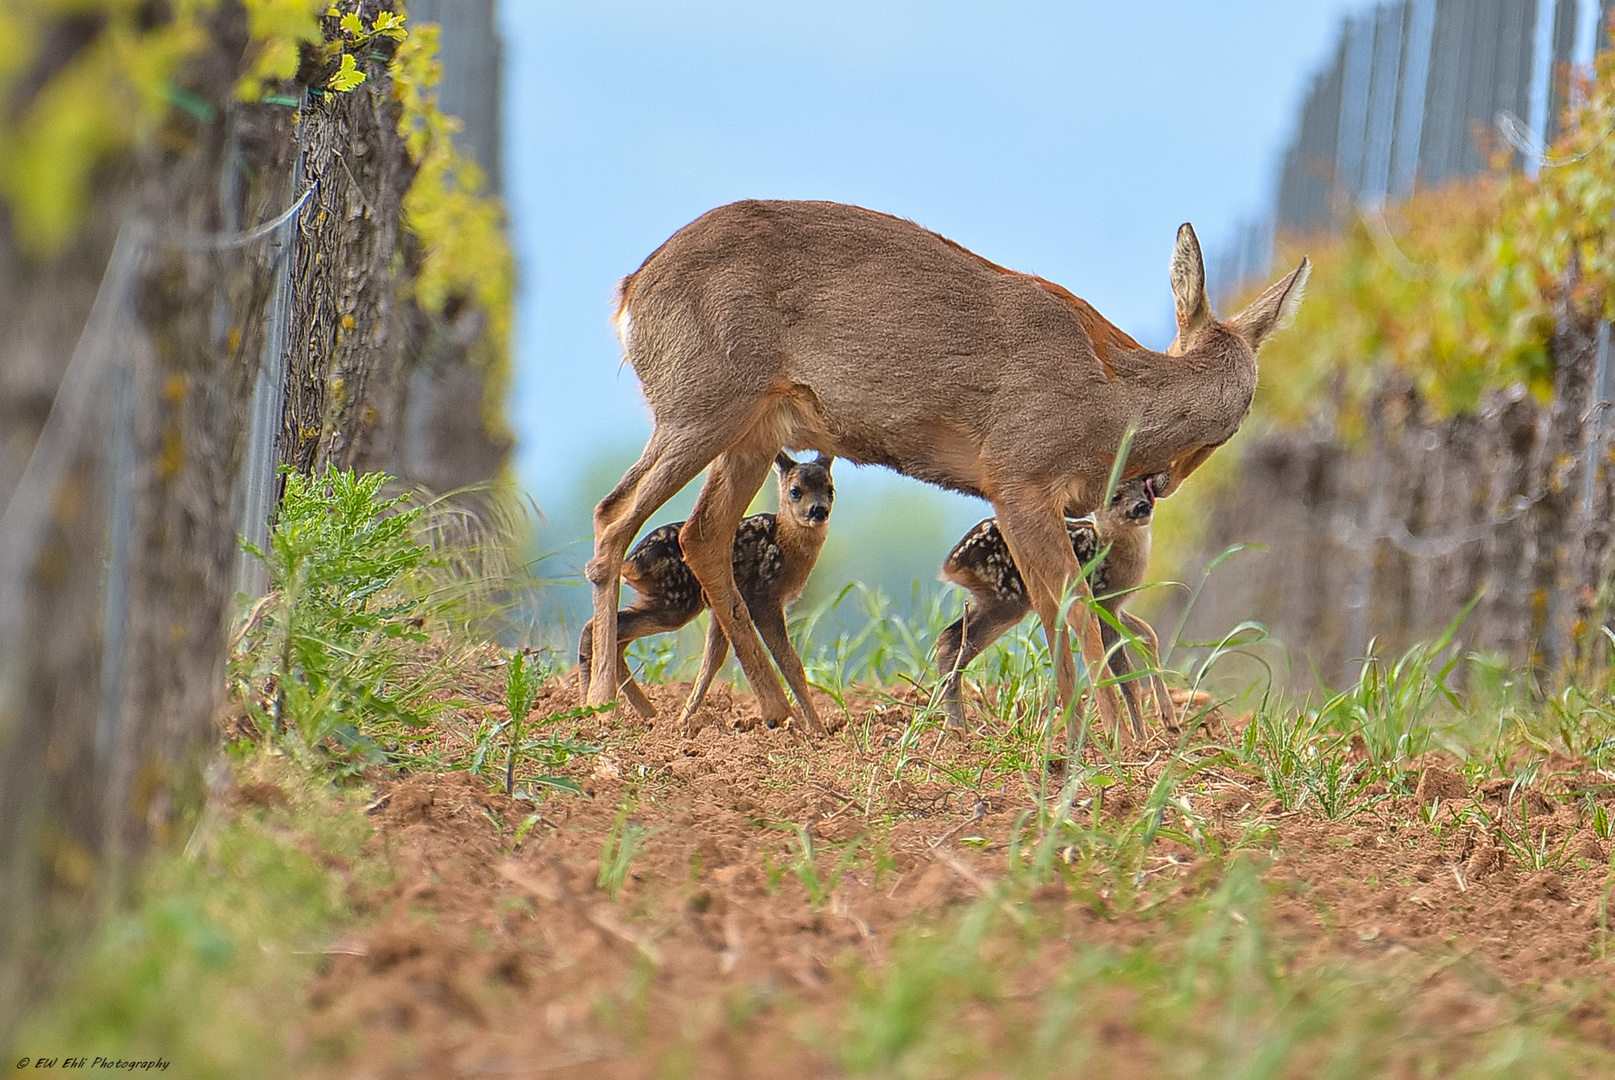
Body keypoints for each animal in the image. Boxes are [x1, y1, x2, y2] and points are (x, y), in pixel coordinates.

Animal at [936, 468, 1175, 736]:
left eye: (1145, 490)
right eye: (1115, 496)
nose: (1142, 506)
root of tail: (952, 564)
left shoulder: (1115, 606)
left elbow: (1148, 634)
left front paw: (1170, 721)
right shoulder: (1102, 601)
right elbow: (1127, 677)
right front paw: (1141, 739)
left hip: (994, 600)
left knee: (950, 639)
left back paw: (957, 727)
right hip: (1007, 599)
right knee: (954, 643)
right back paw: (958, 727)